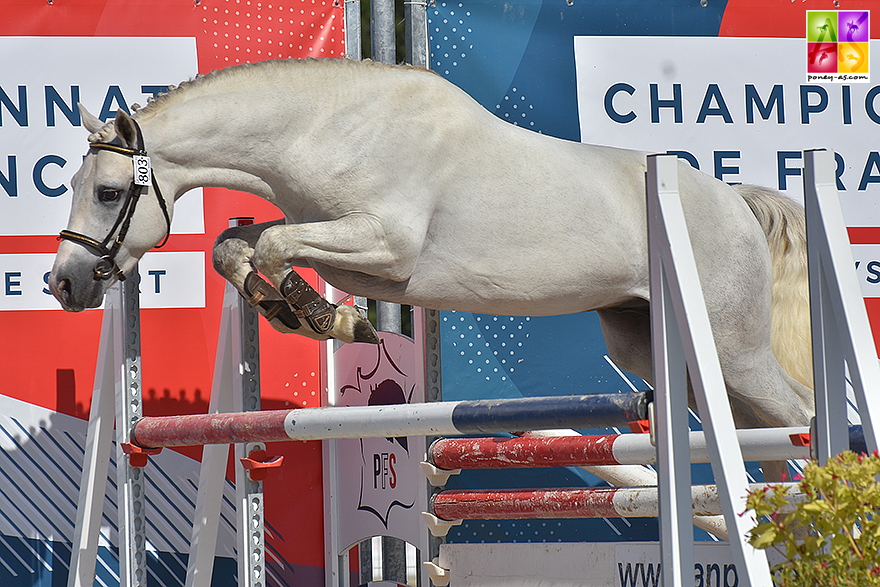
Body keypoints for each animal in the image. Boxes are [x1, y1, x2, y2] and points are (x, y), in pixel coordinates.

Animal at [51, 60, 816, 460]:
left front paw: (328, 319)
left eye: (110, 192)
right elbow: (235, 245)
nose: (64, 283)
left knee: (799, 413)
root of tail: (735, 201)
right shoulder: (339, 238)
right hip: (661, 351)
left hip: (733, 347)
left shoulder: (385, 246)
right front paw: (297, 311)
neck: (328, 126)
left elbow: (270, 245)